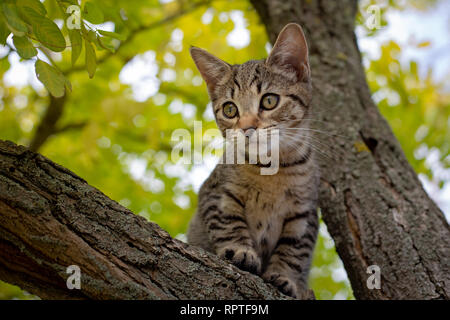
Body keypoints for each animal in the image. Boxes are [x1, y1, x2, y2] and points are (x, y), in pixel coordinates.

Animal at [187, 23, 320, 298]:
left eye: (269, 100)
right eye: (230, 109)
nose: (247, 128)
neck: (270, 171)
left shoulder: (305, 213)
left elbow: (294, 250)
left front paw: (284, 276)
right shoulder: (217, 193)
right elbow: (228, 223)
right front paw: (241, 251)